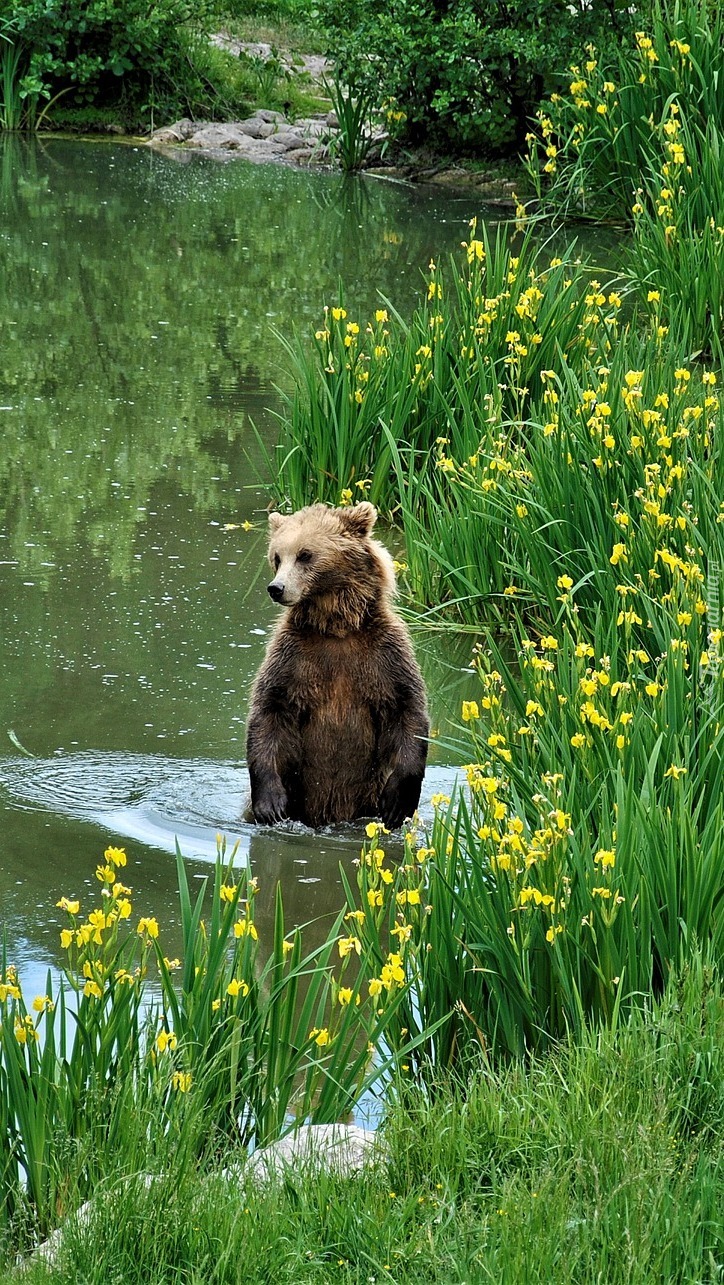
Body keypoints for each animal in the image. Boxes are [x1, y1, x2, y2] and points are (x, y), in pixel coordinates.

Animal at [248, 496, 429, 827]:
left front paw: (397, 804)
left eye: (305, 554)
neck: (336, 628)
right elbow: (269, 712)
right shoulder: (292, 658)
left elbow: (408, 711)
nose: (276, 588)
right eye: (277, 557)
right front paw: (271, 805)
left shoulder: (385, 655)